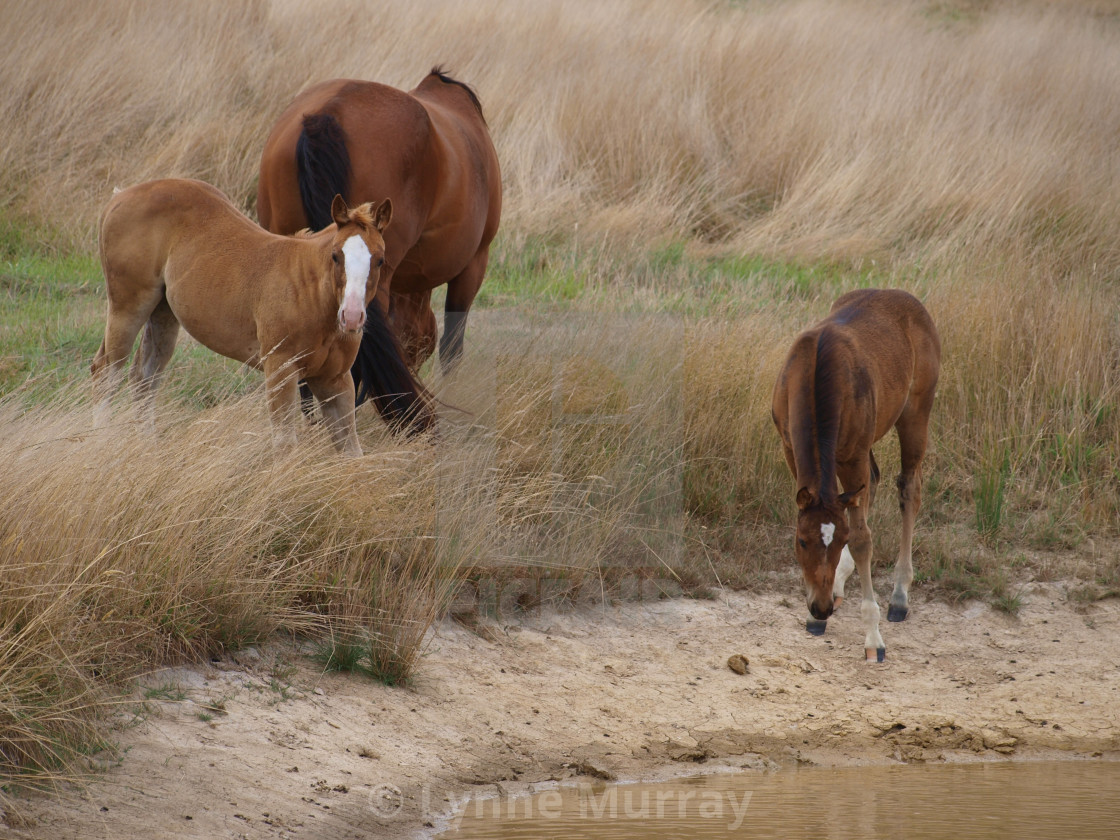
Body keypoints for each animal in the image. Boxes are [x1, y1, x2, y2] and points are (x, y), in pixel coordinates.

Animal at [89, 175, 416, 454]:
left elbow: (350, 449)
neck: (311, 295)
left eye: (380, 260)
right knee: (107, 372)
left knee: (144, 377)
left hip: (163, 312)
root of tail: (119, 198)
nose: (351, 316)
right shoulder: (280, 371)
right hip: (128, 305)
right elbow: (285, 445)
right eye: (336, 256)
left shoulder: (335, 380)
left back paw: (149, 448)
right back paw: (100, 445)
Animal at [770, 288, 936, 663]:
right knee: (872, 483)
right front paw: (818, 612)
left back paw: (899, 595)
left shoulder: (853, 454)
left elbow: (863, 539)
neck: (818, 370)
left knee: (910, 488)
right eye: (802, 541)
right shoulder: (790, 448)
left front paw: (873, 637)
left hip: (915, 414)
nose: (820, 608)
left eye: (838, 542)